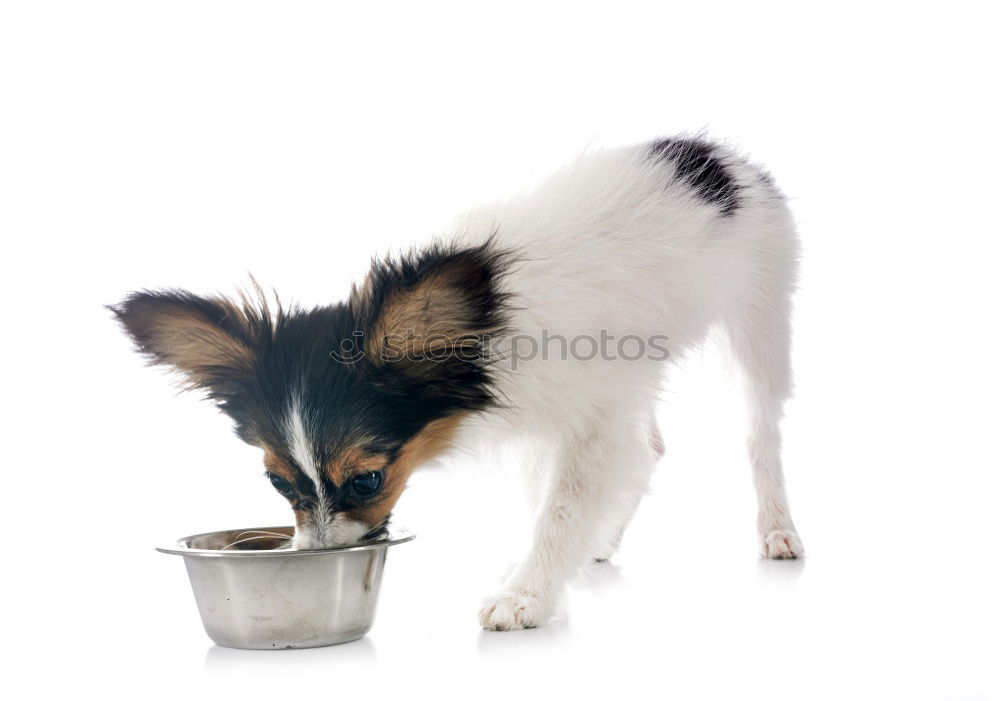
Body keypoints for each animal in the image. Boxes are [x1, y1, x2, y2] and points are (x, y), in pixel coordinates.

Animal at [113, 135, 804, 628]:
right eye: (278, 483)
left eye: (367, 479)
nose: (316, 554)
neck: (481, 332)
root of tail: (722, 160)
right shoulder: (566, 418)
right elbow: (556, 498)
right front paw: (548, 570)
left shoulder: (592, 422)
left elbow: (561, 508)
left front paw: (527, 593)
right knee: (654, 447)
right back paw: (606, 540)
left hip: (761, 319)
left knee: (759, 433)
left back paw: (777, 530)